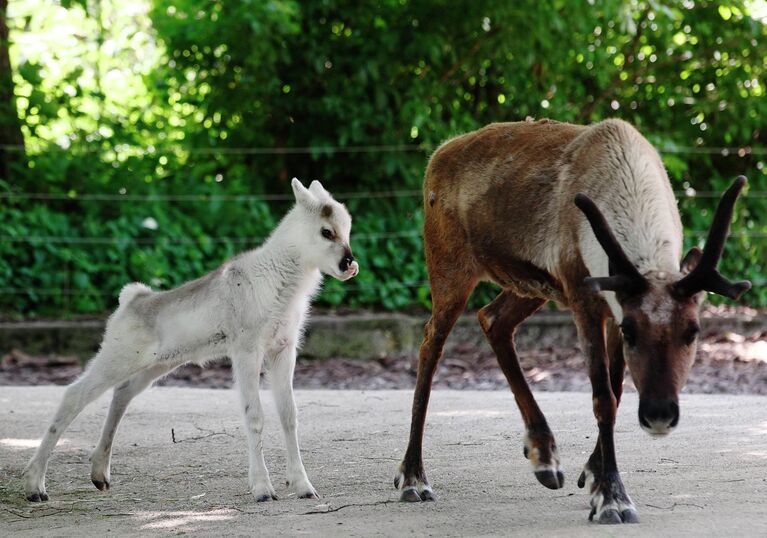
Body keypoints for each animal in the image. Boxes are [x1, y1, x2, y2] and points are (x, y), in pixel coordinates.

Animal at [23, 178, 360, 500]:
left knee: (121, 394)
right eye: (326, 231)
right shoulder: (246, 350)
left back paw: (99, 475)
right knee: (74, 395)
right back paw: (35, 486)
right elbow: (254, 415)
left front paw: (304, 487)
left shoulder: (283, 349)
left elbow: (289, 415)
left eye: (347, 230)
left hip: (155, 365)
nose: (349, 265)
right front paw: (263, 490)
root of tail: (130, 299)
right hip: (117, 357)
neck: (283, 280)